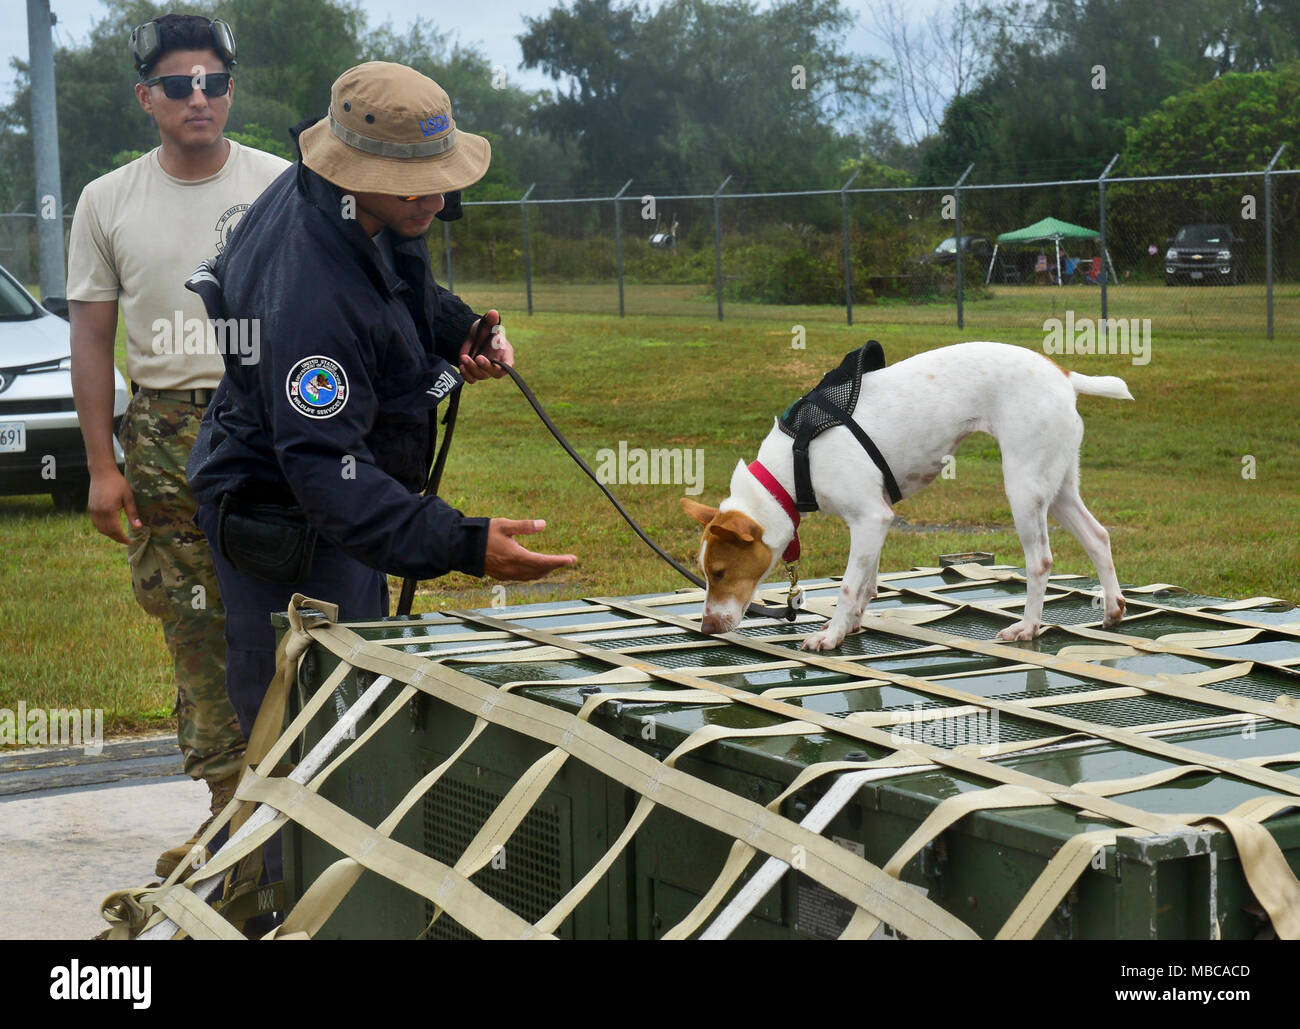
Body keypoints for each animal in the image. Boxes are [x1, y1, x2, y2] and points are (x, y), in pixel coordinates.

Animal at [686, 345, 1133, 652]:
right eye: (706, 574)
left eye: (721, 573)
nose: (706, 627)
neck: (793, 466)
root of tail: (1062, 374)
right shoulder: (877, 521)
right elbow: (866, 583)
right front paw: (851, 624)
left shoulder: (870, 518)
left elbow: (848, 586)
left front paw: (831, 634)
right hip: (1056, 488)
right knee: (1098, 536)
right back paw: (1112, 609)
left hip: (1024, 489)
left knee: (1040, 560)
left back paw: (1027, 627)